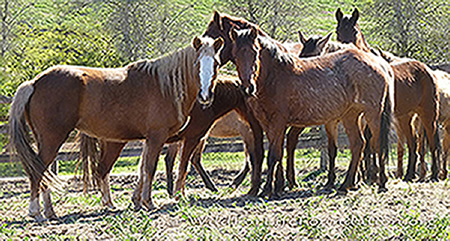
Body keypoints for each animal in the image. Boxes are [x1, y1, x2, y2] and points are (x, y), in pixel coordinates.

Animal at [8, 36, 223, 220]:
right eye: (196, 63)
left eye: (216, 64)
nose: (205, 96)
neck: (165, 85)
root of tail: (34, 82)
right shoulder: (156, 137)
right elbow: (150, 169)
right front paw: (149, 202)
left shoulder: (147, 140)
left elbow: (142, 169)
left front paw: (137, 202)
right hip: (52, 140)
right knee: (38, 171)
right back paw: (37, 212)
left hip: (46, 140)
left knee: (44, 172)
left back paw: (51, 212)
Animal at [230, 27, 392, 198]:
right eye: (235, 55)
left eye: (255, 52)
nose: (247, 88)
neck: (274, 76)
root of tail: (380, 64)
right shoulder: (268, 124)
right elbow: (277, 154)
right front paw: (276, 187)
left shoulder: (278, 122)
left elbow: (273, 156)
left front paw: (268, 189)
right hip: (350, 116)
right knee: (358, 144)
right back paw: (345, 184)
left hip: (373, 114)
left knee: (377, 144)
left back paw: (381, 182)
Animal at [336, 8, 442, 182]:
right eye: (338, 31)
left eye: (354, 31)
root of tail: (427, 70)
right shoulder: (362, 116)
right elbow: (367, 144)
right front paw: (367, 175)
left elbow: (371, 143)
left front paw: (373, 174)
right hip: (405, 116)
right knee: (413, 142)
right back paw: (409, 174)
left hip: (428, 113)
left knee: (432, 142)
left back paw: (433, 174)